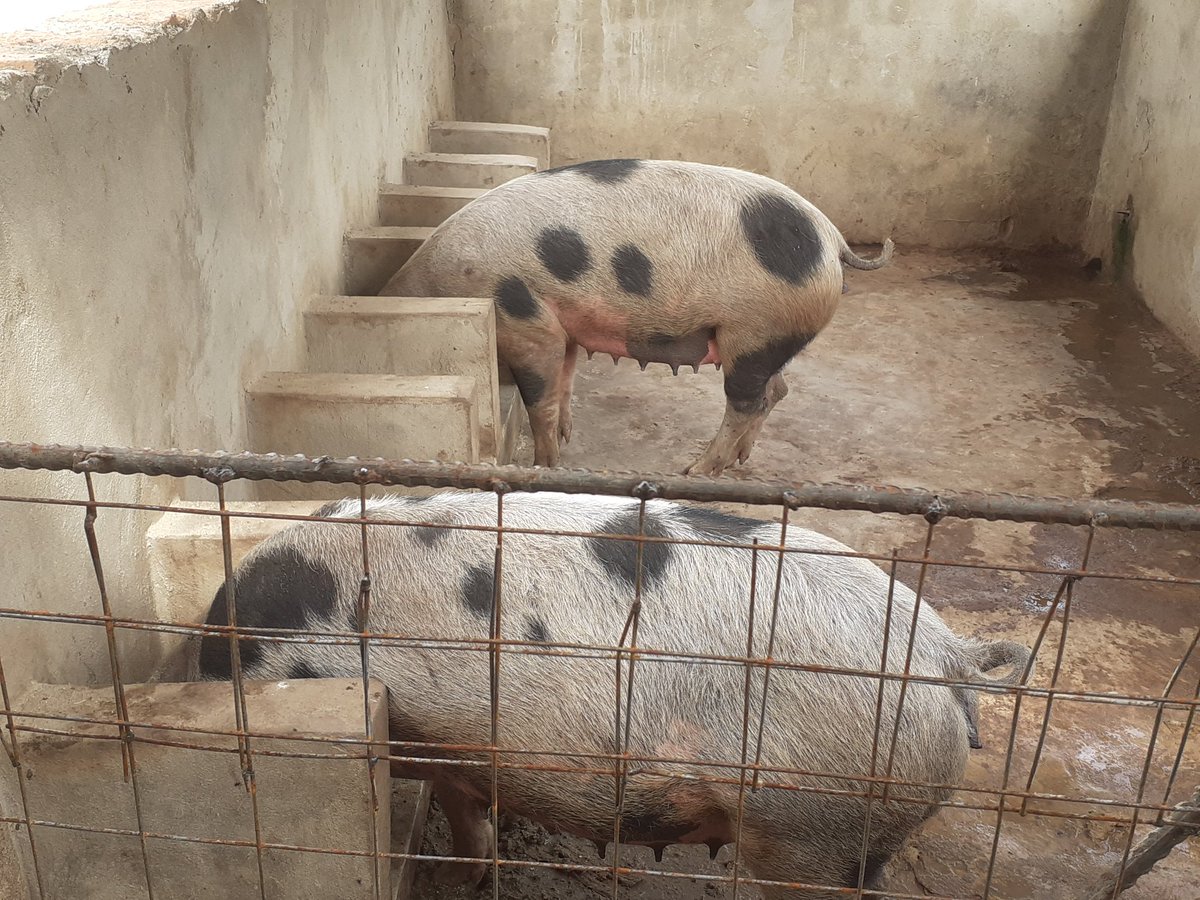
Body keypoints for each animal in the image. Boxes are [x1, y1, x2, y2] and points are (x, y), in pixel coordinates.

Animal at [196, 491, 1028, 898]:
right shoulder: (451, 741)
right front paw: (460, 878)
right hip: (852, 831)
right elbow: (467, 811)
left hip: (807, 821)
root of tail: (948, 656)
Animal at [379, 160, 894, 476]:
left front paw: (545, 464)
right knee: (777, 390)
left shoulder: (523, 319)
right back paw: (739, 462)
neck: (437, 282)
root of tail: (833, 241)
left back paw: (697, 471)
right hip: (769, 338)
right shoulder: (563, 322)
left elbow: (538, 397)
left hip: (755, 332)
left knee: (746, 401)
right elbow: (565, 377)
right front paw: (568, 433)